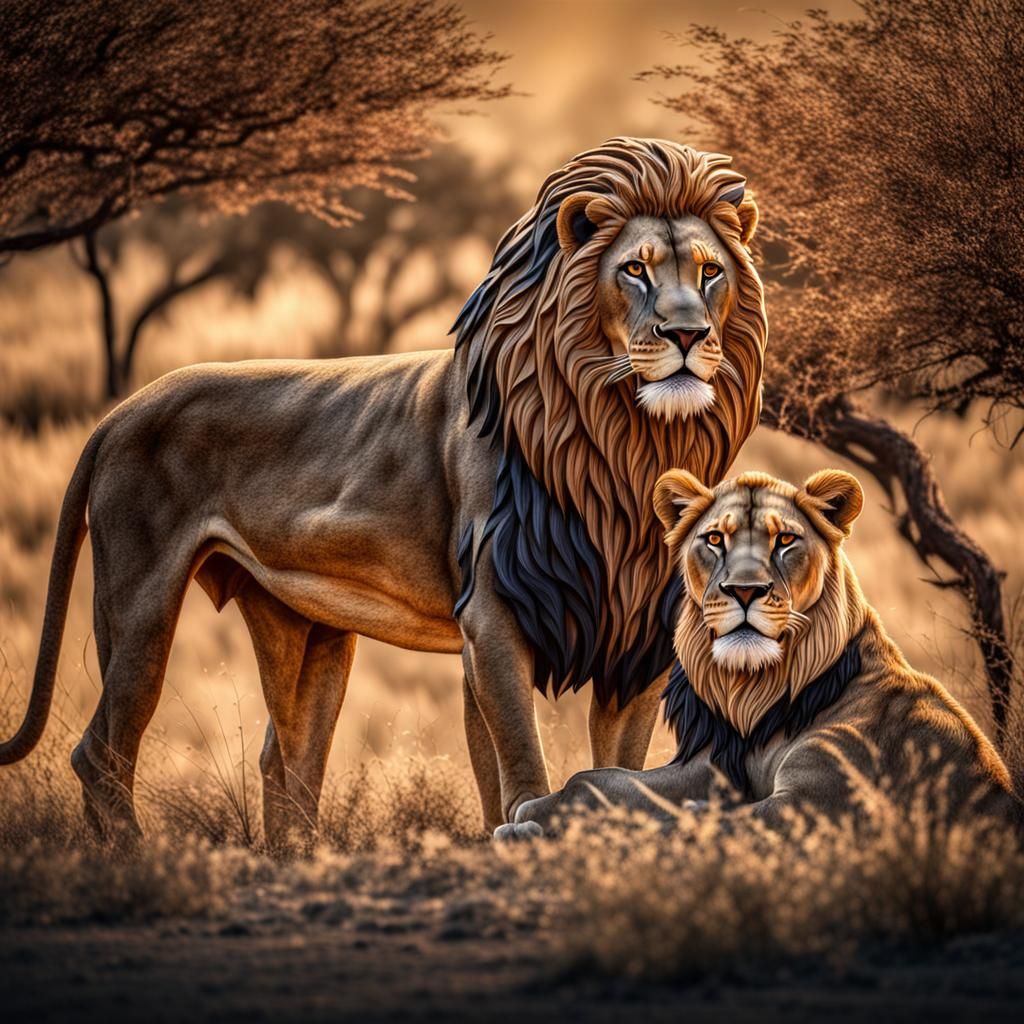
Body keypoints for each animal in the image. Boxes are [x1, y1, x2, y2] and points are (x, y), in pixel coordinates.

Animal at [0, 138, 767, 847]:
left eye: (710, 272)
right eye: (635, 269)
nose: (687, 333)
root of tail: (118, 412)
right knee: (101, 749)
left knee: (287, 761)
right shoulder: (491, 614)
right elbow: (519, 760)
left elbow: (608, 763)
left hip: (306, 629)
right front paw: (525, 835)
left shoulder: (634, 638)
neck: (625, 445)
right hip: (142, 601)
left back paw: (297, 861)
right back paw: (142, 861)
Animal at [499, 468, 1020, 838]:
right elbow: (601, 779)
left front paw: (547, 828)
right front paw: (530, 811)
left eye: (785, 540)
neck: (760, 691)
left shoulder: (816, 803)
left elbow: (677, 825)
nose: (745, 591)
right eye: (714, 539)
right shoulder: (713, 767)